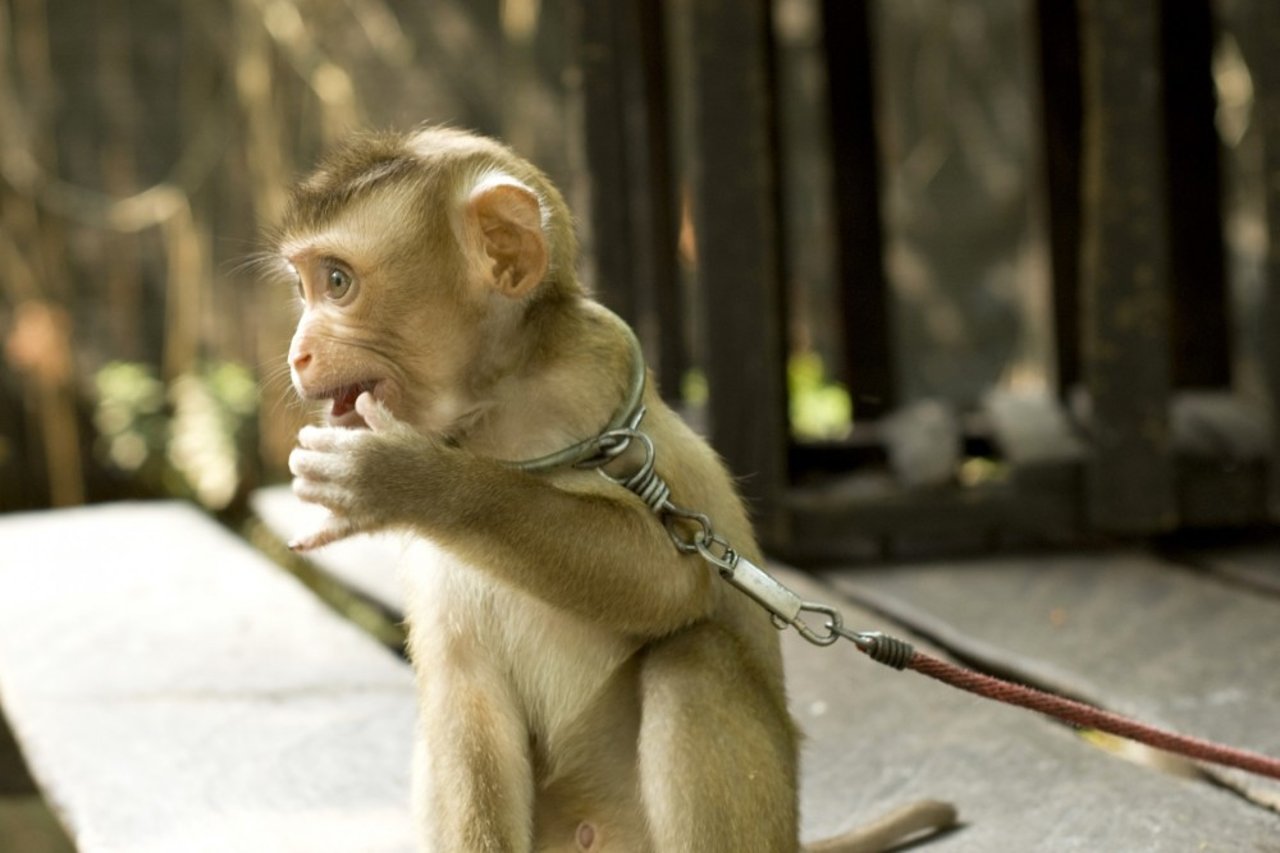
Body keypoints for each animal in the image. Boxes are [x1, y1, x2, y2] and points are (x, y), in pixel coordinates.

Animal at [280, 126, 962, 850]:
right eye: (303, 286)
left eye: (337, 281)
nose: (297, 352)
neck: (494, 408)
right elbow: (465, 696)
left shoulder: (593, 392)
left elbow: (668, 579)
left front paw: (405, 479)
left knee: (693, 657)